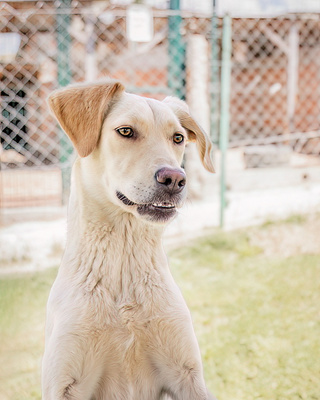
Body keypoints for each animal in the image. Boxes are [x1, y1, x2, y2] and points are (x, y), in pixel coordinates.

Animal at [42, 79, 215, 400]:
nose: (175, 179)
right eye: (125, 131)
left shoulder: (188, 375)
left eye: (177, 138)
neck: (123, 258)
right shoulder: (65, 384)